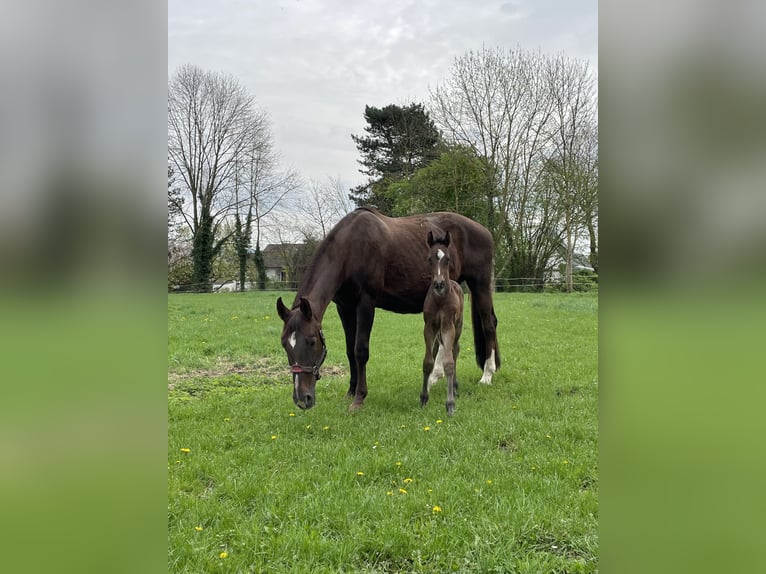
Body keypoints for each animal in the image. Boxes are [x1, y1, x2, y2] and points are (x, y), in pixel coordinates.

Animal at [280, 206, 500, 410]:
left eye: (310, 341)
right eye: (284, 344)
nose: (302, 399)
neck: (350, 248)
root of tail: (485, 231)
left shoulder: (365, 304)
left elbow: (360, 350)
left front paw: (359, 398)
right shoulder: (345, 308)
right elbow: (350, 350)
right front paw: (350, 391)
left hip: (479, 285)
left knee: (489, 324)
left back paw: (487, 375)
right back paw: (435, 376)